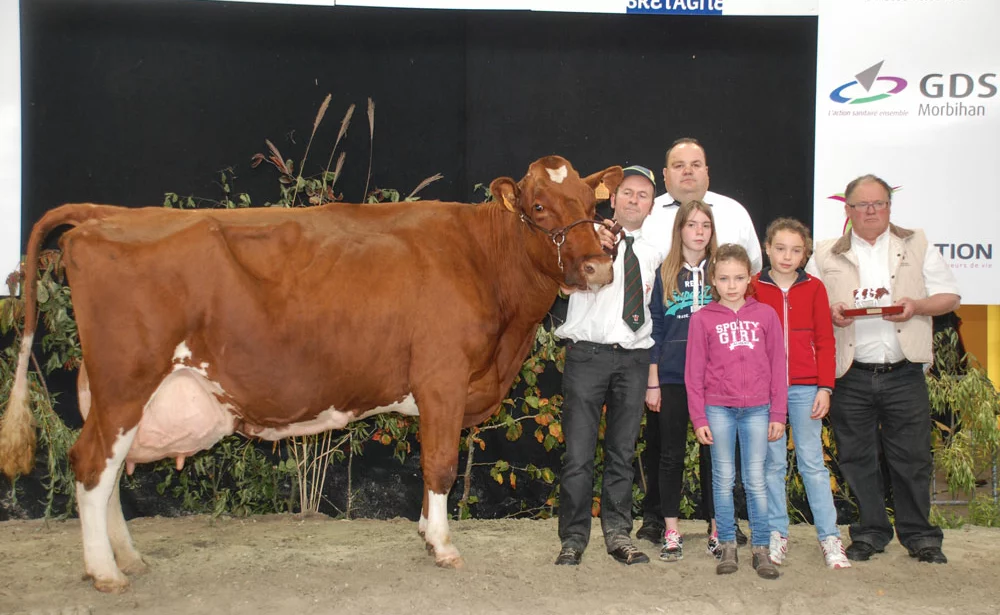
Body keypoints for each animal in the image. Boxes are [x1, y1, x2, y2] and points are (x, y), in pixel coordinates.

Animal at [0, 156, 620, 596]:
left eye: (592, 204)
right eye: (538, 205)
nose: (598, 267)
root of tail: (110, 214)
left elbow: (429, 467)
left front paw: (425, 532)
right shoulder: (442, 377)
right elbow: (440, 465)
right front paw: (443, 546)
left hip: (115, 393)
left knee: (106, 470)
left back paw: (127, 556)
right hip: (127, 380)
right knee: (92, 465)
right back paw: (106, 572)